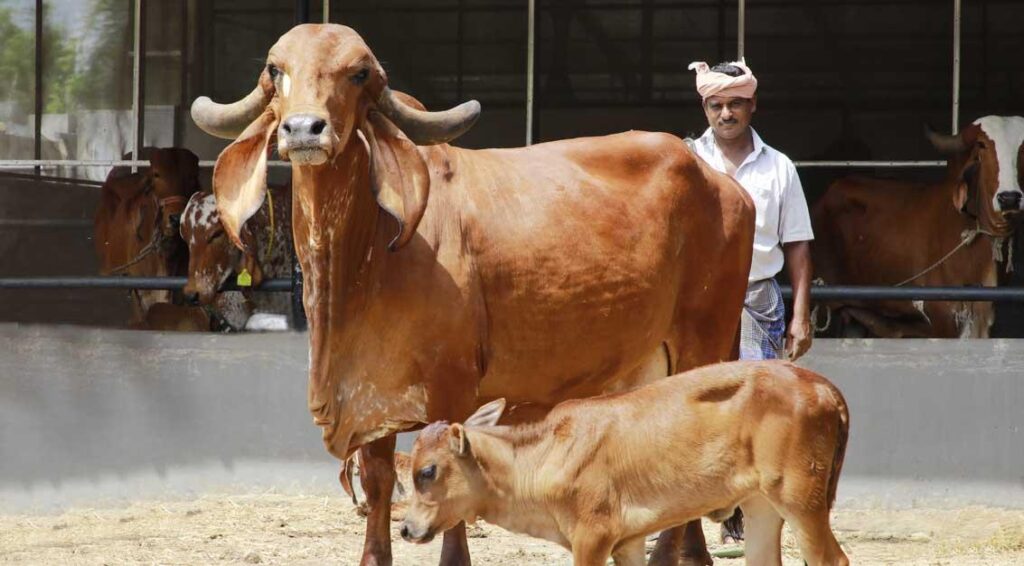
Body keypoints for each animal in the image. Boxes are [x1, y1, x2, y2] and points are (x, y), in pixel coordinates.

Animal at [400, 361, 850, 566]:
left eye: (427, 471)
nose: (405, 528)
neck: (548, 456)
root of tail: (824, 387)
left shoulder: (592, 536)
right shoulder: (629, 541)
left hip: (800, 501)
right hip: (762, 507)